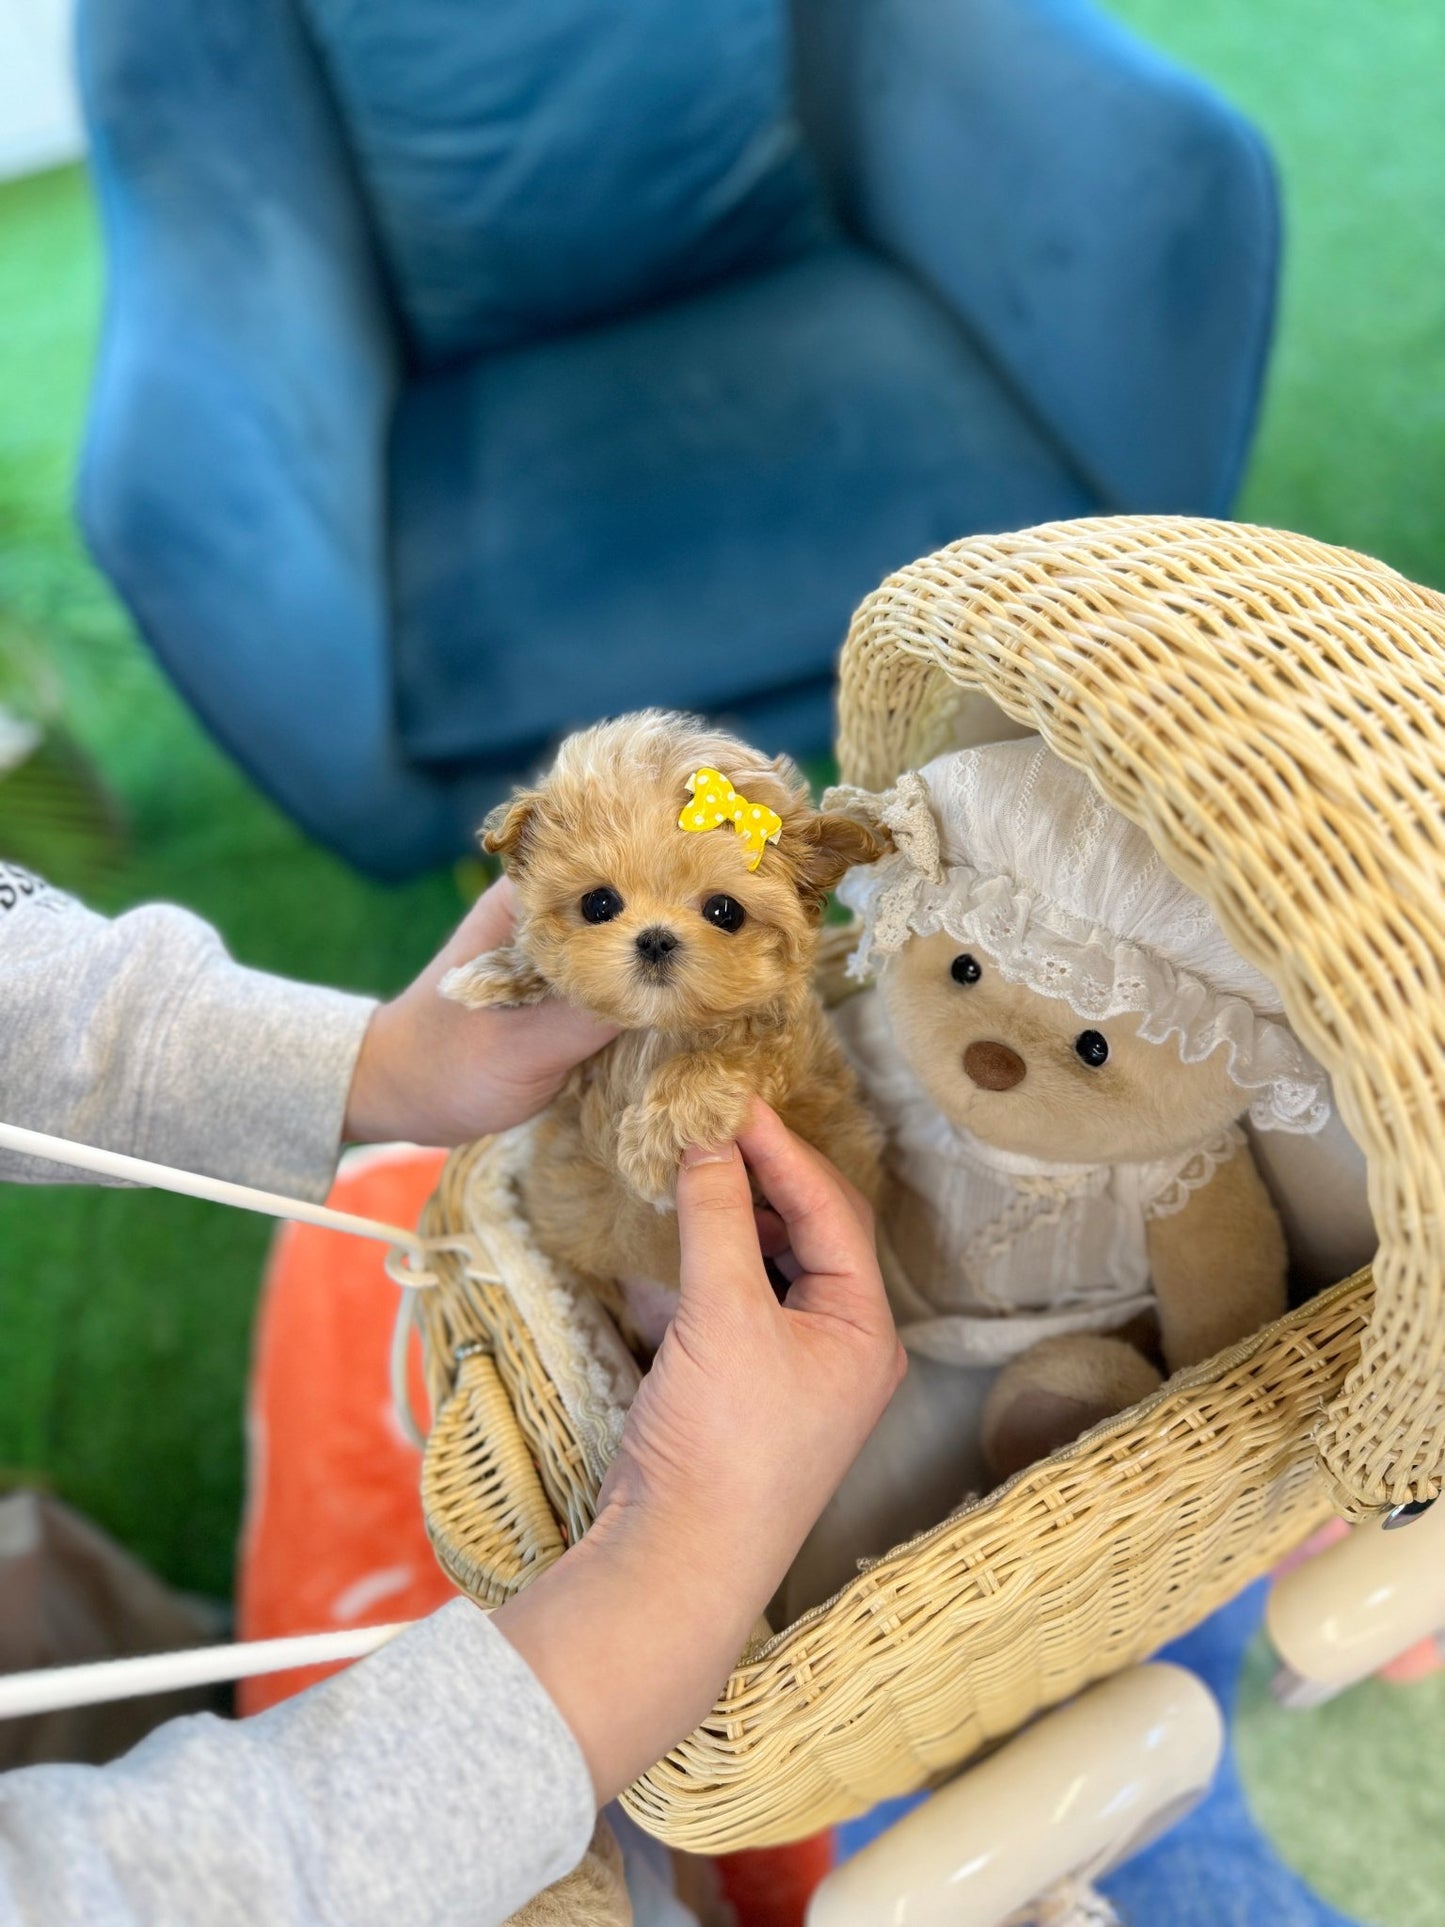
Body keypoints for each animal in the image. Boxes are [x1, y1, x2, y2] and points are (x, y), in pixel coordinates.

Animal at [446, 716, 890, 1302]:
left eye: (724, 911)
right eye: (598, 904)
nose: (656, 939)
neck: (657, 1028)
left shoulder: (791, 1056)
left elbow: (730, 1057)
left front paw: (657, 1142)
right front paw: (496, 972)